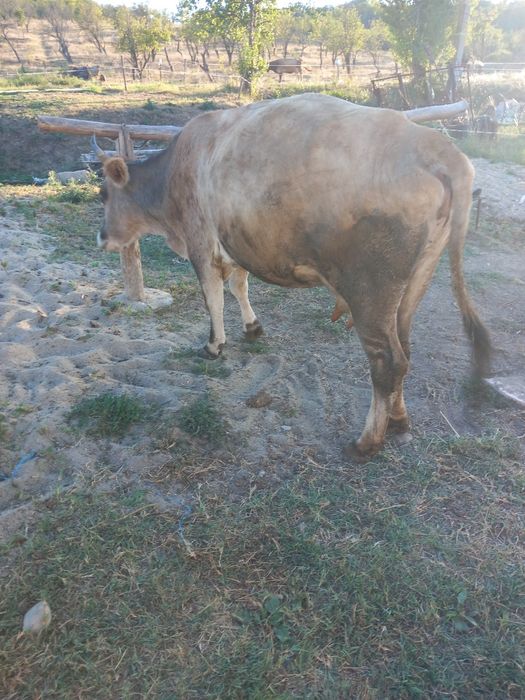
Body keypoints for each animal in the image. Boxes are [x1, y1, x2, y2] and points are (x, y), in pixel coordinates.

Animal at [94, 93, 491, 462]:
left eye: (103, 195)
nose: (101, 237)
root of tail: (435, 145)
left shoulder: (200, 244)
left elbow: (213, 297)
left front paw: (214, 345)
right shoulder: (238, 240)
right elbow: (239, 284)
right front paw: (252, 327)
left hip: (370, 291)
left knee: (387, 361)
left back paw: (366, 442)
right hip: (416, 280)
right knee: (405, 350)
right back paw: (398, 420)